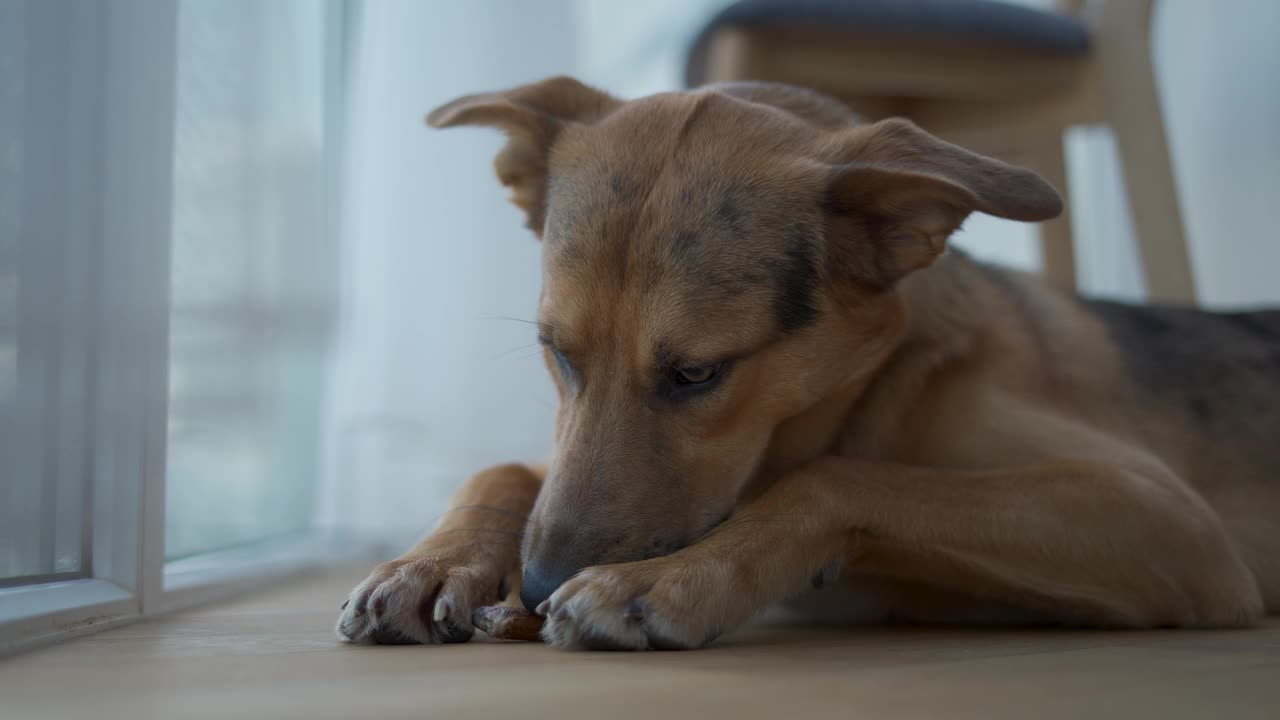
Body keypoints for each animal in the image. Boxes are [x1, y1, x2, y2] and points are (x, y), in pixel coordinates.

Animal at [335, 75, 1274, 648]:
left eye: (698, 373)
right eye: (555, 352)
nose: (535, 586)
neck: (872, 391)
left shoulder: (1167, 519)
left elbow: (835, 479)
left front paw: (668, 580)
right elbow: (500, 470)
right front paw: (430, 562)